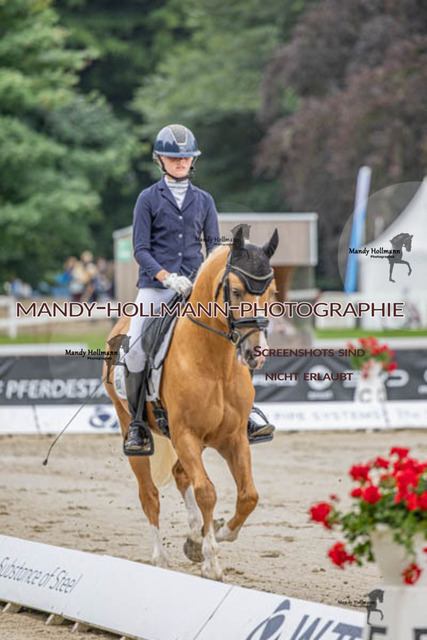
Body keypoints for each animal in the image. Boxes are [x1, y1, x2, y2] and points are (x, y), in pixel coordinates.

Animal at [103, 227, 278, 580]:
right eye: (236, 291)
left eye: (272, 291)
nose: (256, 352)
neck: (215, 362)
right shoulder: (187, 435)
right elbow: (207, 491)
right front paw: (212, 561)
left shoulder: (233, 438)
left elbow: (248, 495)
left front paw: (218, 534)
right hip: (133, 425)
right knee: (149, 495)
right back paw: (161, 559)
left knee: (181, 474)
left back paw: (194, 535)